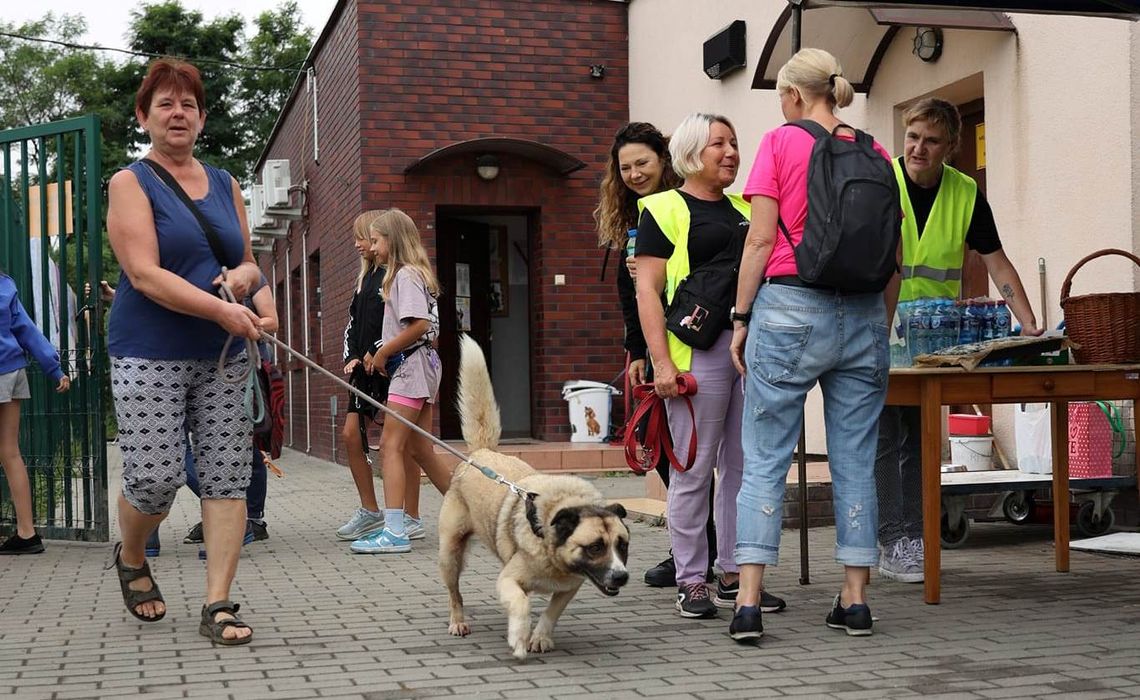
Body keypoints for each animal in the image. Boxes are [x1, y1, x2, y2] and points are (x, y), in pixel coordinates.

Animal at [437, 337, 633, 661]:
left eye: (622, 545)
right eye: (595, 547)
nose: (621, 578)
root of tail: (481, 452)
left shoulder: (569, 587)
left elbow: (552, 612)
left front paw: (540, 637)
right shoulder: (507, 580)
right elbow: (522, 603)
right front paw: (519, 637)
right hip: (450, 554)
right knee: (455, 593)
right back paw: (458, 622)